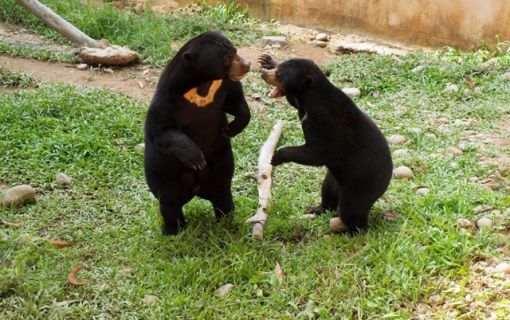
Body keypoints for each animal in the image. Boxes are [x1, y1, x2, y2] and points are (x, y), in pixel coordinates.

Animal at [143, 31, 251, 235]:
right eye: (226, 58)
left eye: (235, 50)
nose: (247, 64)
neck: (202, 84)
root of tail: (195, 190)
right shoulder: (166, 99)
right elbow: (161, 130)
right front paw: (196, 158)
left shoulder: (223, 86)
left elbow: (236, 100)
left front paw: (231, 128)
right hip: (162, 175)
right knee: (169, 203)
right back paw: (172, 231)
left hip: (220, 166)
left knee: (222, 195)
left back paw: (226, 223)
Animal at [258, 55, 394, 232]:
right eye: (277, 69)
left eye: (280, 75)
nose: (263, 73)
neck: (309, 98)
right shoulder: (301, 104)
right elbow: (292, 101)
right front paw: (266, 60)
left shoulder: (325, 124)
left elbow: (316, 153)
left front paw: (277, 156)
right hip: (333, 180)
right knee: (327, 193)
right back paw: (316, 209)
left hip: (361, 188)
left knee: (351, 211)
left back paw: (350, 230)